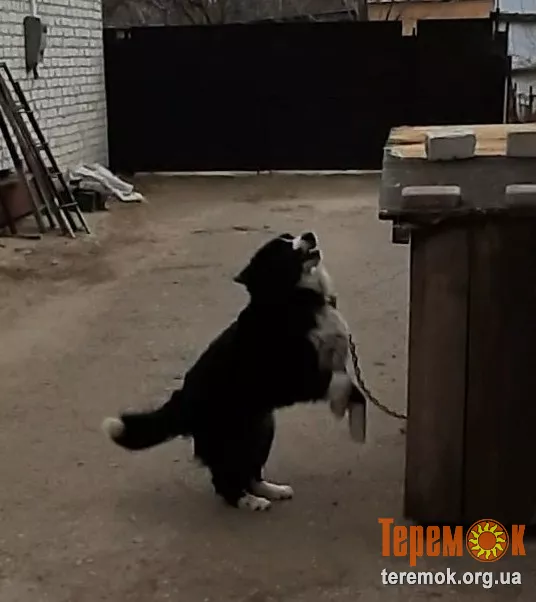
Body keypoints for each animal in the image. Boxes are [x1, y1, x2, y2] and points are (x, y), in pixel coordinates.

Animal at [102, 231, 365, 511]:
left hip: (261, 428)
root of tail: (182, 399)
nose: (308, 234)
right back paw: (249, 501)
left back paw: (271, 490)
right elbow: (342, 383)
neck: (293, 299)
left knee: (249, 471)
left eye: (289, 236)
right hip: (231, 437)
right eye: (281, 248)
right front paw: (346, 414)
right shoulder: (295, 376)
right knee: (224, 479)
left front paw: (353, 417)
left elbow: (351, 386)